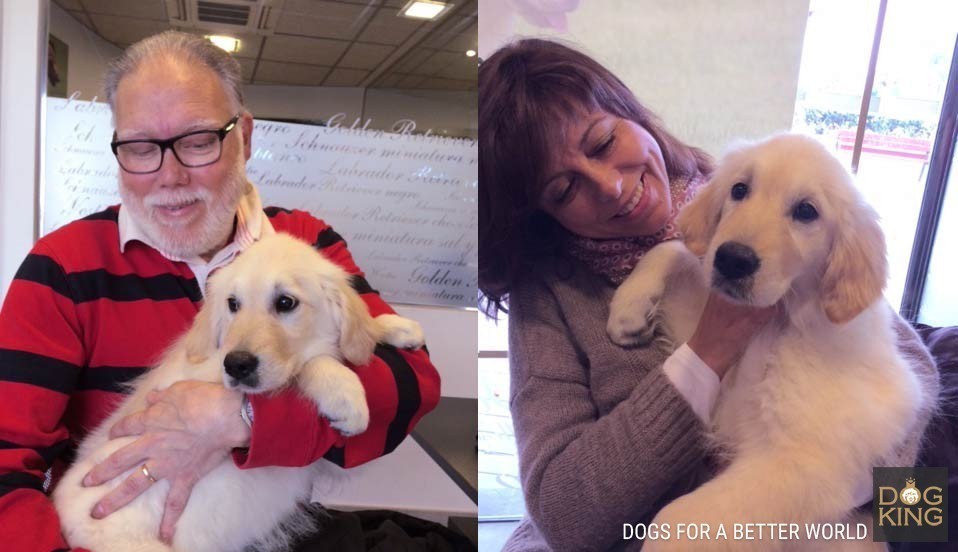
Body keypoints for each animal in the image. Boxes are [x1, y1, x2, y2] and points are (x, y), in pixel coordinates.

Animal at [608, 135, 936, 552]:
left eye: (806, 211)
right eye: (739, 190)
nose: (732, 260)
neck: (779, 322)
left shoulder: (804, 464)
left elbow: (674, 519)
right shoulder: (719, 369)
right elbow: (676, 250)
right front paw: (628, 310)